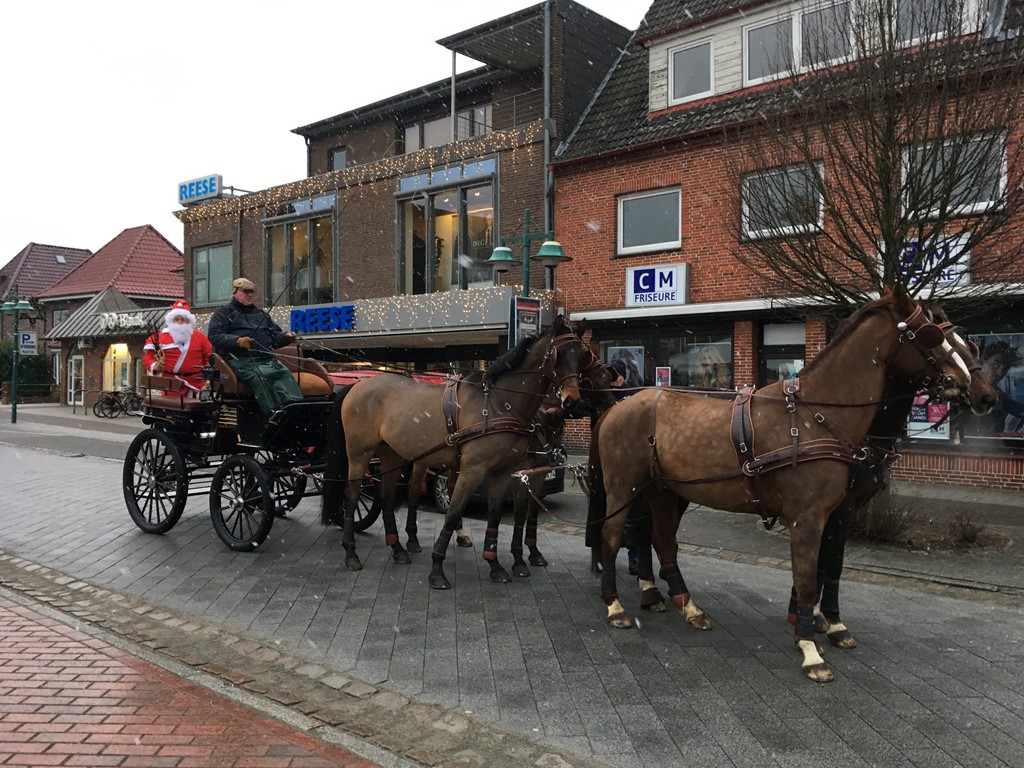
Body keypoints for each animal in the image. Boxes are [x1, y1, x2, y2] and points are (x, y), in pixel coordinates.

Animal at [323, 313, 589, 589]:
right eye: (558, 353)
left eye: (583, 355)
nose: (572, 400)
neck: (500, 404)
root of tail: (357, 386)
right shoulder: (474, 469)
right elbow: (453, 513)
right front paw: (437, 569)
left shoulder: (504, 472)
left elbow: (495, 515)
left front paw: (495, 564)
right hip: (359, 455)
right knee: (352, 497)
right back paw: (351, 552)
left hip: (392, 455)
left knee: (386, 497)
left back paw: (398, 548)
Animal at [589, 286, 970, 684]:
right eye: (932, 334)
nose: (964, 382)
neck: (817, 416)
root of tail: (618, 406)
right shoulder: (808, 516)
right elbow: (807, 577)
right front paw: (810, 648)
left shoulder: (832, 514)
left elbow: (821, 570)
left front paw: (819, 625)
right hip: (623, 488)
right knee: (612, 537)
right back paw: (615, 606)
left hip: (662, 490)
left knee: (661, 540)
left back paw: (688, 607)